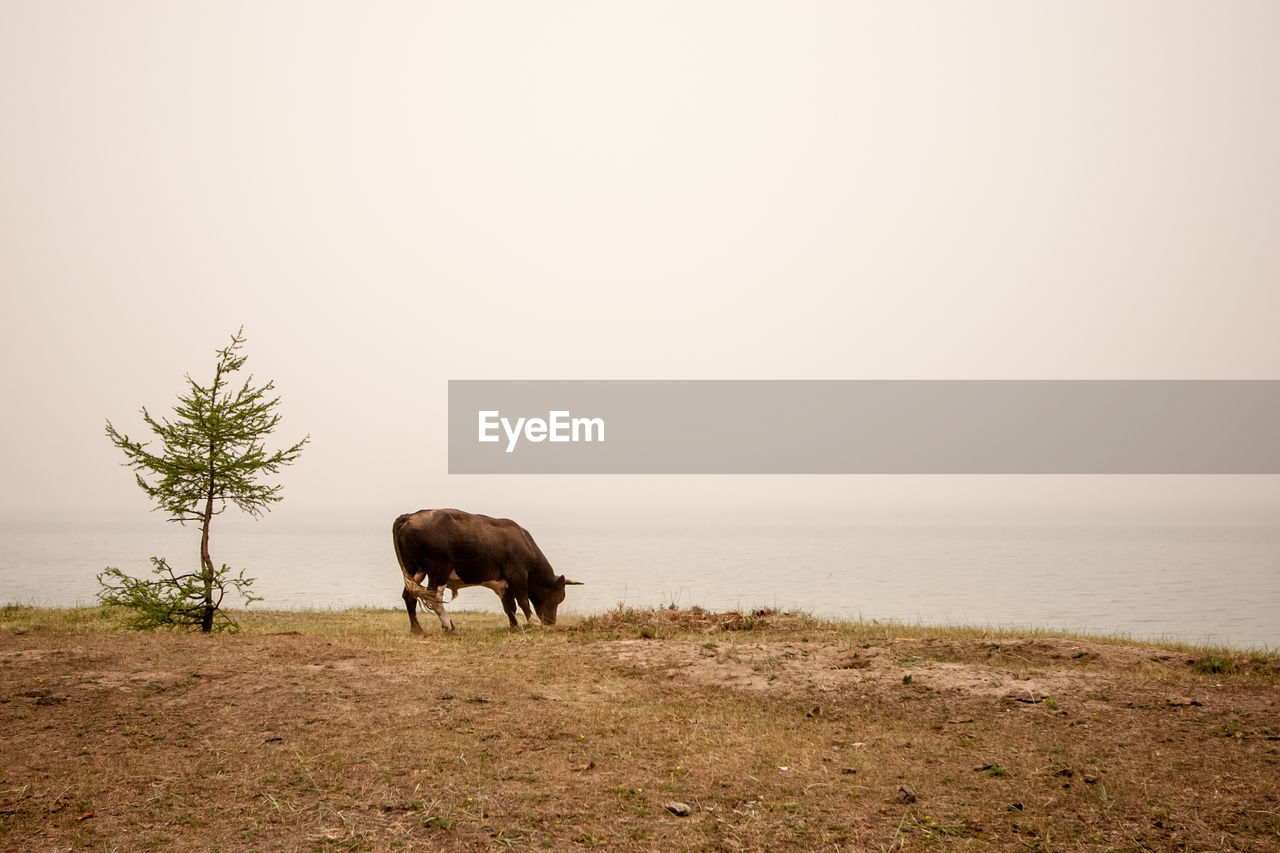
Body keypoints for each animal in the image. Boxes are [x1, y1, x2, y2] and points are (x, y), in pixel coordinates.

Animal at [394, 504, 586, 630]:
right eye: (558, 597)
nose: (550, 622)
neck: (524, 543)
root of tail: (410, 516)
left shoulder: (503, 583)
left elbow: (509, 606)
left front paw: (514, 626)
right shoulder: (517, 574)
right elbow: (522, 600)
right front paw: (534, 623)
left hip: (414, 570)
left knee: (409, 596)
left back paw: (417, 629)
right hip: (438, 570)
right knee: (434, 598)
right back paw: (448, 625)